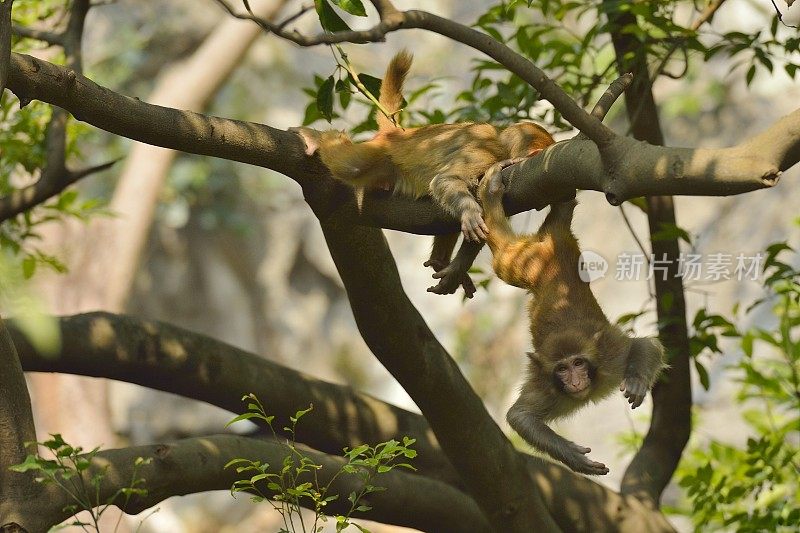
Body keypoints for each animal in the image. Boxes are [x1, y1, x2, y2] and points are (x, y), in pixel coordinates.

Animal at [296, 51, 556, 298]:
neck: (501, 142)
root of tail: (397, 133)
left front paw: (455, 269)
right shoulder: (483, 155)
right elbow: (447, 181)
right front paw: (470, 213)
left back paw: (441, 261)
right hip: (379, 153)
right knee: (350, 166)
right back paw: (316, 137)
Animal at [478, 160, 664, 476]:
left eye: (578, 363)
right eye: (562, 369)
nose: (575, 381)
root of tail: (551, 244)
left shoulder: (611, 357)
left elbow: (643, 345)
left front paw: (638, 382)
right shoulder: (547, 385)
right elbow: (520, 416)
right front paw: (574, 457)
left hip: (523, 261)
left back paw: (491, 197)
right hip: (522, 263)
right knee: (504, 253)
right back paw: (491, 198)